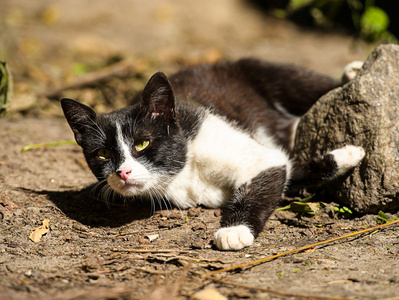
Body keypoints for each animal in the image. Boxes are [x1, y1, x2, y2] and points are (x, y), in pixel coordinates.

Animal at [60, 58, 366, 251]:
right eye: (102, 153)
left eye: (142, 144)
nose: (123, 172)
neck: (185, 170)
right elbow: (291, 169)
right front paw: (347, 155)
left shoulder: (257, 156)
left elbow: (270, 171)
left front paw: (234, 230)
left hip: (263, 71)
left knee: (309, 84)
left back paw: (353, 72)